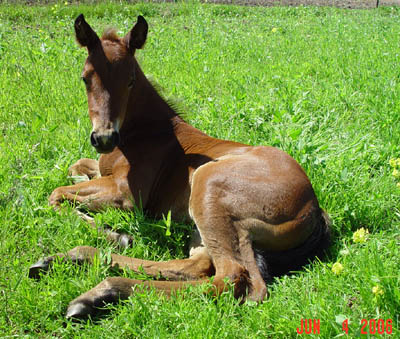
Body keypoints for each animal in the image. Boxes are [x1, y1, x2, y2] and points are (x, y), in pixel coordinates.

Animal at [28, 14, 332, 320]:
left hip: (208, 187)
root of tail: (314, 209)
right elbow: (74, 167)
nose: (104, 138)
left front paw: (116, 234)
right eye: (85, 78)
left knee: (234, 279)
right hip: (206, 225)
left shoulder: (127, 195)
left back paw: (99, 292)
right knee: (197, 267)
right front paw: (118, 234)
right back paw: (71, 260)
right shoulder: (103, 170)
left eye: (131, 80)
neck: (148, 130)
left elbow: (56, 193)